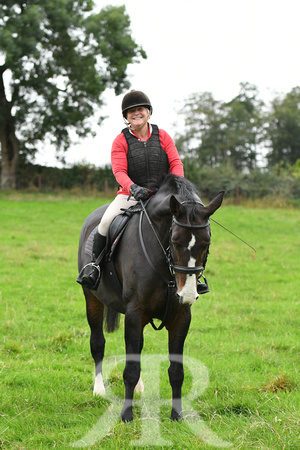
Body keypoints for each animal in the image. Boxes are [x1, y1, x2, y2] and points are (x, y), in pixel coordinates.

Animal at [76, 175, 224, 422]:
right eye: (175, 240)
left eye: (207, 242)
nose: (188, 294)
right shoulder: (135, 314)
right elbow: (130, 369)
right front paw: (126, 414)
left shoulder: (180, 317)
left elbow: (176, 371)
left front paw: (177, 415)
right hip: (92, 299)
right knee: (98, 342)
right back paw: (99, 390)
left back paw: (139, 388)